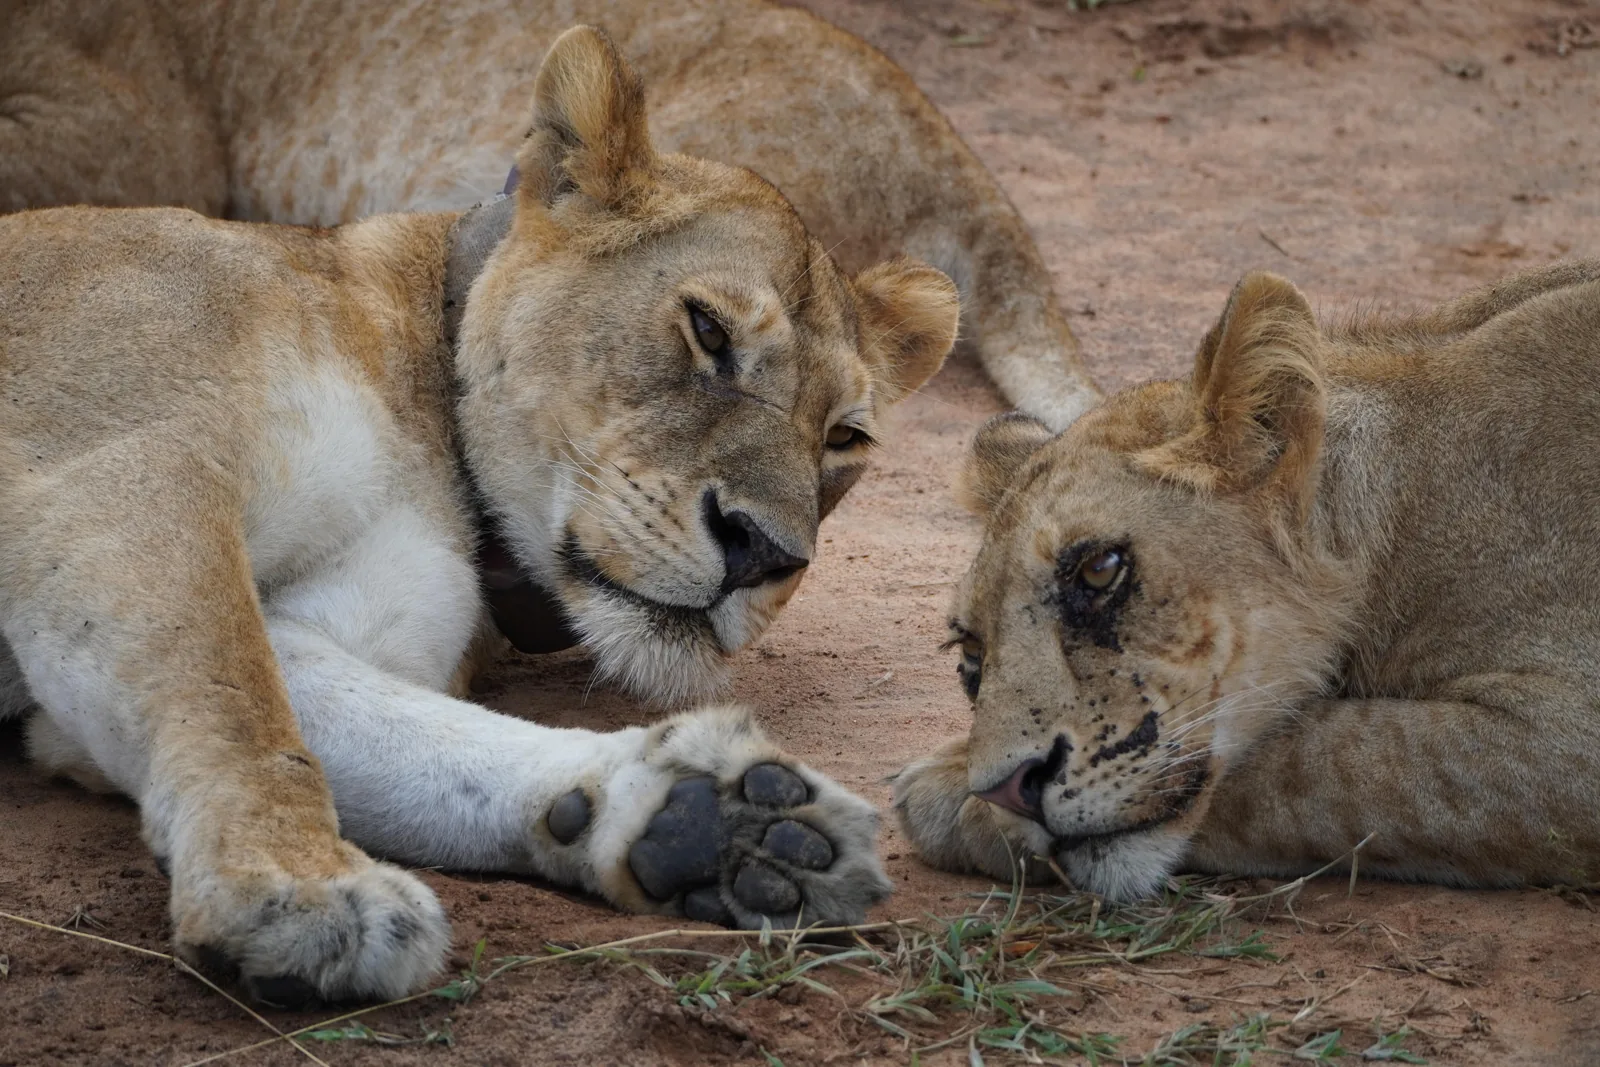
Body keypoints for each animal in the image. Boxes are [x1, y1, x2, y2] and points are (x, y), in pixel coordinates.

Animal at [0, 27, 961, 1003]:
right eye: (708, 331)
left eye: (844, 437)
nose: (765, 554)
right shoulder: (120, 464)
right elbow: (231, 701)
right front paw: (294, 889)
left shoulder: (325, 616)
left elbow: (385, 735)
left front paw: (706, 820)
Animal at [893, 263, 1600, 900]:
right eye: (971, 653)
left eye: (1099, 570)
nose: (1007, 790)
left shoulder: (1566, 738)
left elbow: (1331, 757)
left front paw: (947, 794)